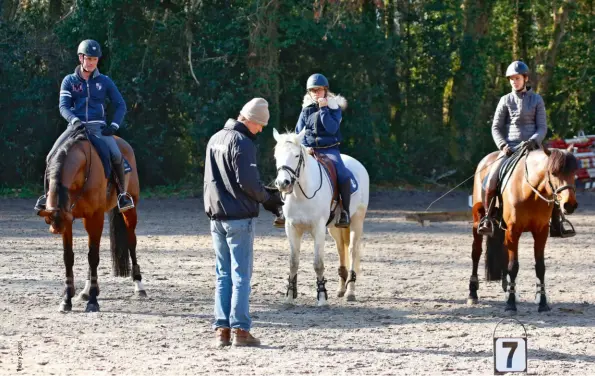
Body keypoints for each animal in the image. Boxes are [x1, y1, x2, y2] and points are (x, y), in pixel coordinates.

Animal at [36, 128, 146, 312]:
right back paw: (86, 291)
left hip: (130, 210)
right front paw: (67, 299)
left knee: (132, 242)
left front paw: (93, 301)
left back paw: (139, 285)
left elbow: (93, 256)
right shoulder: (69, 220)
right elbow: (69, 257)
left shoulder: (95, 217)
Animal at [274, 129, 368, 306]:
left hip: (357, 221)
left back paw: (350, 291)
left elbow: (318, 264)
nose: (283, 183)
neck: (301, 193)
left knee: (352, 251)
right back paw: (341, 289)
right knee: (341, 250)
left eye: (296, 155)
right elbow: (293, 262)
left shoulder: (317, 228)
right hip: (334, 228)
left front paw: (322, 297)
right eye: (276, 155)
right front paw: (289, 296)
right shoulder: (291, 228)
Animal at [470, 142, 576, 312]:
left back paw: (506, 288)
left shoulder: (541, 232)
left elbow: (540, 267)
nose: (569, 205)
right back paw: (473, 293)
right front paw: (511, 304)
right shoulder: (514, 230)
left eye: (574, 172)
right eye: (553, 173)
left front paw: (542, 302)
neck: (529, 191)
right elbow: (514, 266)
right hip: (477, 221)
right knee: (476, 253)